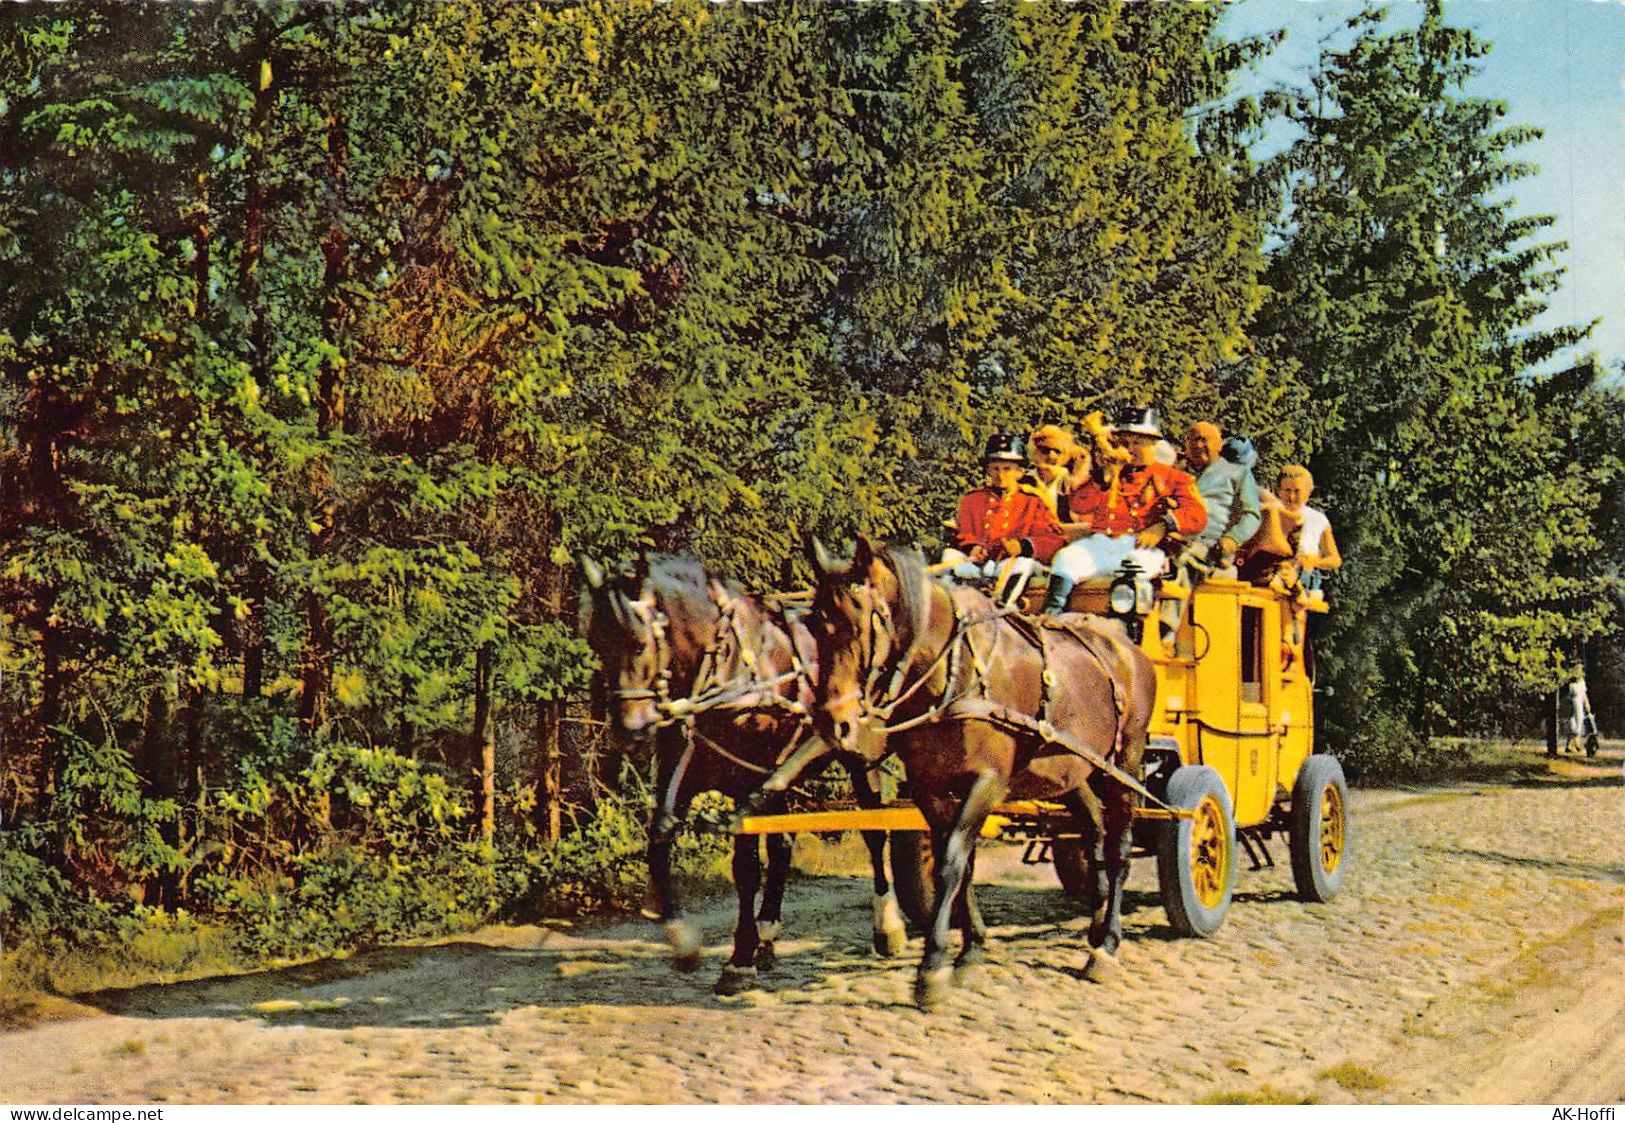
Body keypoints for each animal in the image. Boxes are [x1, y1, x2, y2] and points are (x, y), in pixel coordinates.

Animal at [581, 552, 910, 994]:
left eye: (639, 643)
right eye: (596, 642)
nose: (628, 732)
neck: (730, 671)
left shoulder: (747, 785)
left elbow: (746, 867)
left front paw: (738, 959)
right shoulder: (684, 769)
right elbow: (659, 839)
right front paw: (683, 941)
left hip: (858, 754)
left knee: (874, 831)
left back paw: (887, 925)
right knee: (784, 844)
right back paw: (767, 934)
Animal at [806, 536, 1150, 1007]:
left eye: (860, 621)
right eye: (814, 624)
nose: (833, 723)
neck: (953, 674)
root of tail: (1127, 646)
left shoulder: (986, 783)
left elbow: (951, 863)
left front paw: (932, 967)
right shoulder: (930, 788)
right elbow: (960, 864)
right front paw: (970, 952)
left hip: (1123, 765)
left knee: (1119, 850)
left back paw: (1107, 947)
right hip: (1073, 771)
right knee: (1094, 834)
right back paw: (1096, 928)